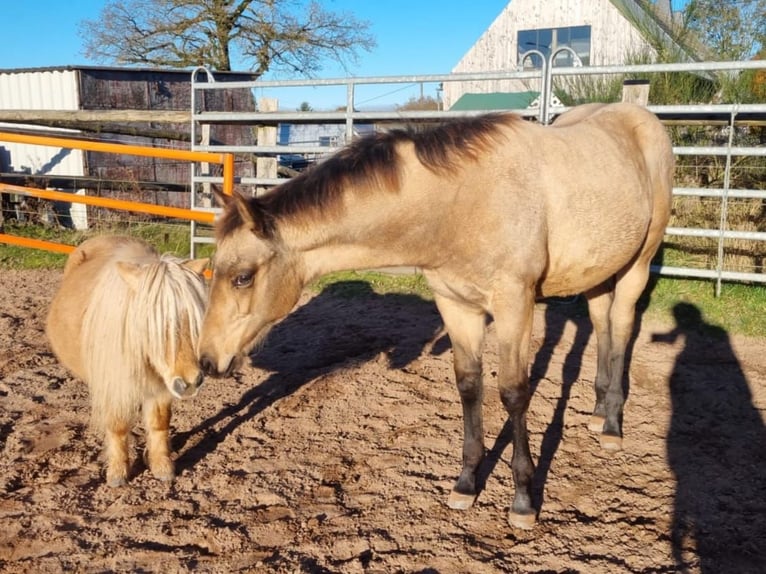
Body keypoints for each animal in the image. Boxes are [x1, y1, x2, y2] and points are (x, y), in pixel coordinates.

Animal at [196, 102, 672, 528]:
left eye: (242, 277)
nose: (207, 361)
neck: (462, 204)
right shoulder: (455, 304)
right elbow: (469, 386)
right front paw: (466, 483)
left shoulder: (515, 305)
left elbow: (514, 393)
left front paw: (523, 499)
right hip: (599, 271)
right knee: (602, 325)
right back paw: (597, 408)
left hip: (638, 264)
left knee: (622, 327)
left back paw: (612, 424)